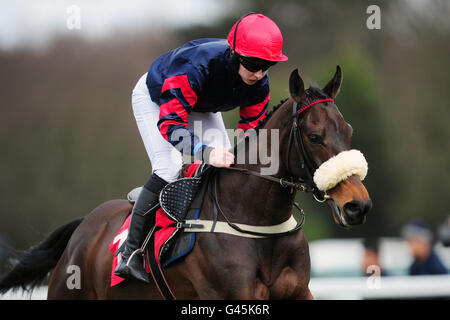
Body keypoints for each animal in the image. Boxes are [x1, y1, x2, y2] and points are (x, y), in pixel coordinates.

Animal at [0, 67, 372, 300]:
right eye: (314, 136)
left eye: (349, 130)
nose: (358, 205)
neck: (255, 219)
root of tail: (84, 228)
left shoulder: (299, 292)